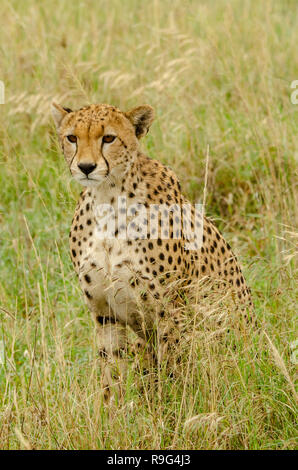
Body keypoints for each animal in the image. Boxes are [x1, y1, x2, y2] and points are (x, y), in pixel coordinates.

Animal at [51, 103, 254, 400]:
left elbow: (172, 366)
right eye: (72, 138)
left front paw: (170, 406)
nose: (86, 167)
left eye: (108, 138)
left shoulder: (168, 309)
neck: (107, 199)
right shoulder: (105, 312)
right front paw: (116, 410)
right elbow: (111, 372)